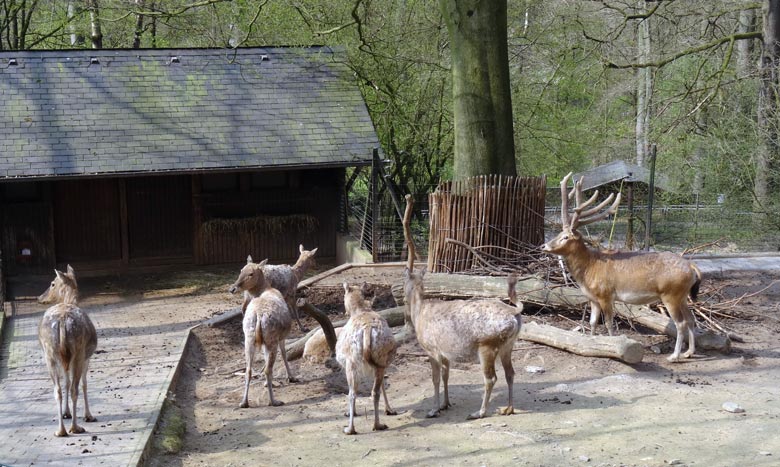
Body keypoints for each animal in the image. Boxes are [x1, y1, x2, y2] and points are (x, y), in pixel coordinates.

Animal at [37, 266, 97, 438]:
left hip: (50, 354)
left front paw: (66, 413)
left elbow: (66, 382)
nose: (39, 297)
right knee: (74, 389)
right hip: (78, 352)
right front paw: (89, 415)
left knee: (57, 390)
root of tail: (63, 320)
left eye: (52, 284)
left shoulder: (64, 360)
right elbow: (84, 383)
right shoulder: (86, 357)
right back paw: (75, 427)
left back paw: (61, 430)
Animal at [229, 256, 298, 410]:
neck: (268, 288)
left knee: (248, 370)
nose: (232, 288)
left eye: (250, 273)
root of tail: (259, 317)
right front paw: (291, 377)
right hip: (271, 337)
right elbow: (284, 354)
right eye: (241, 270)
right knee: (268, 369)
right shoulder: (282, 337)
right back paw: (274, 401)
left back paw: (244, 402)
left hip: (248, 337)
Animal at [336, 284, 396, 436]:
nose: (344, 312)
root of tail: (368, 328)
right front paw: (390, 409)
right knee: (375, 391)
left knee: (352, 393)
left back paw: (349, 429)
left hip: (352, 363)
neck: (359, 309)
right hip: (380, 360)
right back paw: (378, 424)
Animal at [402, 268, 524, 422]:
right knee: (510, 373)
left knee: (491, 378)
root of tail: (514, 312)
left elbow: (435, 379)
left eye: (403, 281)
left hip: (487, 345)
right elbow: (445, 376)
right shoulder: (445, 352)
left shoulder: (432, 350)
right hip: (508, 346)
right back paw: (508, 409)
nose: (403, 298)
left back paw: (479, 413)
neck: (418, 315)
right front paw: (445, 404)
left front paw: (434, 410)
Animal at [540, 174, 704, 364]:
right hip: (683, 296)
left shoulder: (606, 294)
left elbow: (609, 323)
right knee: (691, 319)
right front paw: (589, 342)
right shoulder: (592, 298)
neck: (589, 269)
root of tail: (691, 267)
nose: (543, 246)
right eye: (559, 233)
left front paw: (614, 346)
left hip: (671, 294)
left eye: (566, 237)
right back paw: (689, 352)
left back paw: (674, 356)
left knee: (681, 323)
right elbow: (592, 322)